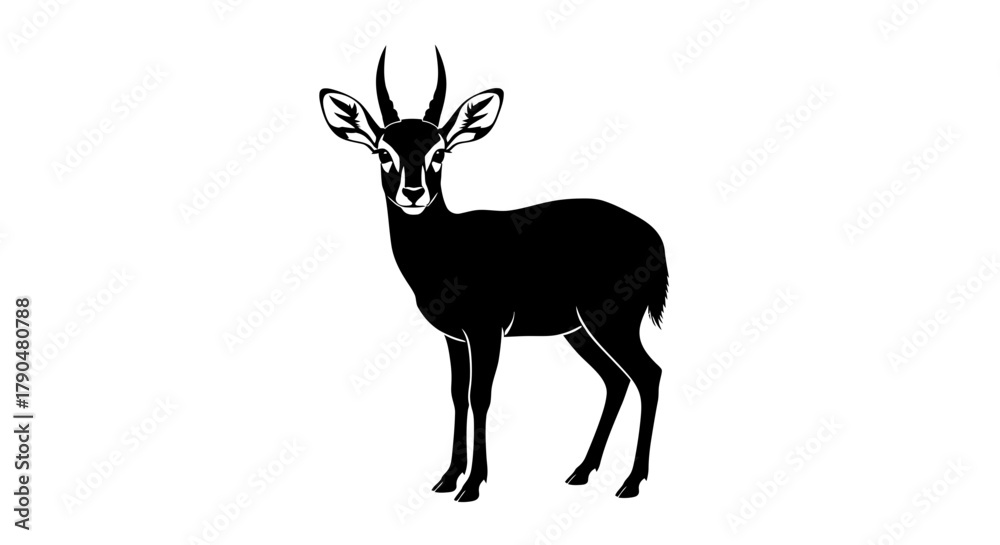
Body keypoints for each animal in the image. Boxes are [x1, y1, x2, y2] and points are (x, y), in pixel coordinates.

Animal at [319, 48, 668, 501]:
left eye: (439, 152)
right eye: (383, 151)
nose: (413, 195)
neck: (447, 245)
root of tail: (655, 237)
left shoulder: (486, 330)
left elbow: (480, 396)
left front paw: (472, 485)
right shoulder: (455, 336)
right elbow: (456, 395)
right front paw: (448, 477)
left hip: (612, 322)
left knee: (648, 375)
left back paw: (631, 482)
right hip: (580, 329)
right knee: (616, 380)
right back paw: (582, 471)